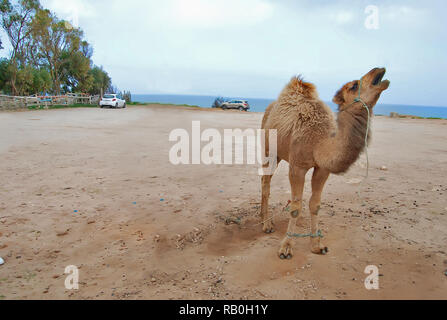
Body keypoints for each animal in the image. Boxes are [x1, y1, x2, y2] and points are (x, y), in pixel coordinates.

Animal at [260, 68, 390, 260]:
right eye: (354, 86)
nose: (380, 70)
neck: (319, 142)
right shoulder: (297, 166)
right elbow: (296, 206)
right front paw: (286, 247)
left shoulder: (322, 169)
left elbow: (315, 205)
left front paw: (317, 245)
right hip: (270, 150)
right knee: (265, 182)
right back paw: (266, 224)